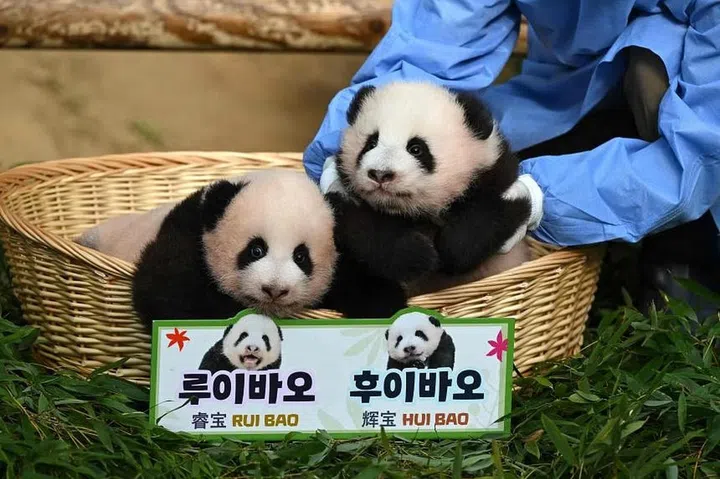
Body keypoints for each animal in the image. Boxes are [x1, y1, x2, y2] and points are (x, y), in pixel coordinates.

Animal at [327, 81, 533, 295]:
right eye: (371, 143)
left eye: (416, 149)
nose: (380, 174)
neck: (414, 213)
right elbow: (361, 226)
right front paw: (418, 255)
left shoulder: (493, 176)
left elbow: (486, 219)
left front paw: (451, 249)